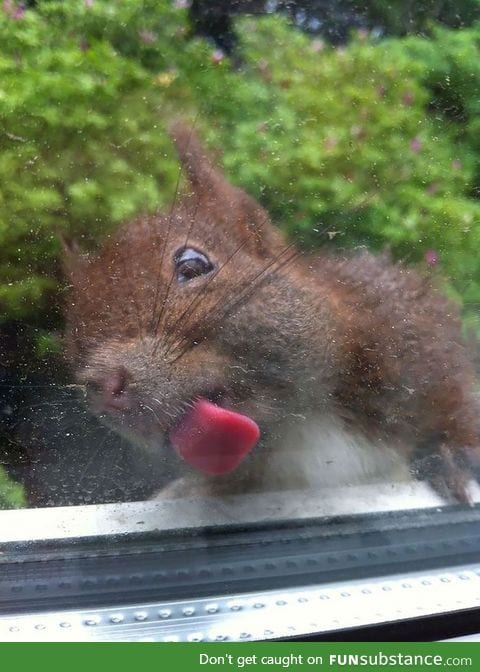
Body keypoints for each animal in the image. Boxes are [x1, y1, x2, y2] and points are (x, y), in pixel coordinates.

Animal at [62, 124, 480, 504]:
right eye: (74, 346)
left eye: (193, 265)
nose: (103, 386)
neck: (297, 424)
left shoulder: (410, 333)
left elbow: (456, 395)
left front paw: (455, 455)